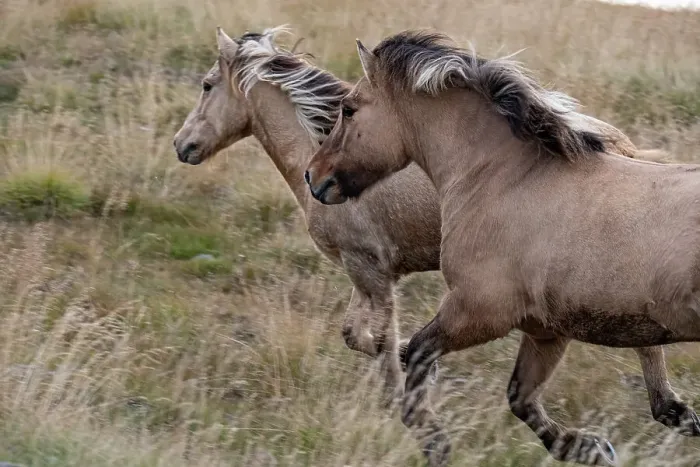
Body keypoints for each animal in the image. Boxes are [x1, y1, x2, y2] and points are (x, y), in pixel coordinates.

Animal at [304, 30, 699, 466]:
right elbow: (520, 398)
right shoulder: (546, 330)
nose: (313, 176)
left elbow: (419, 355)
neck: (502, 178)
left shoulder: (478, 312)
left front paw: (434, 441)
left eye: (349, 109)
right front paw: (590, 447)